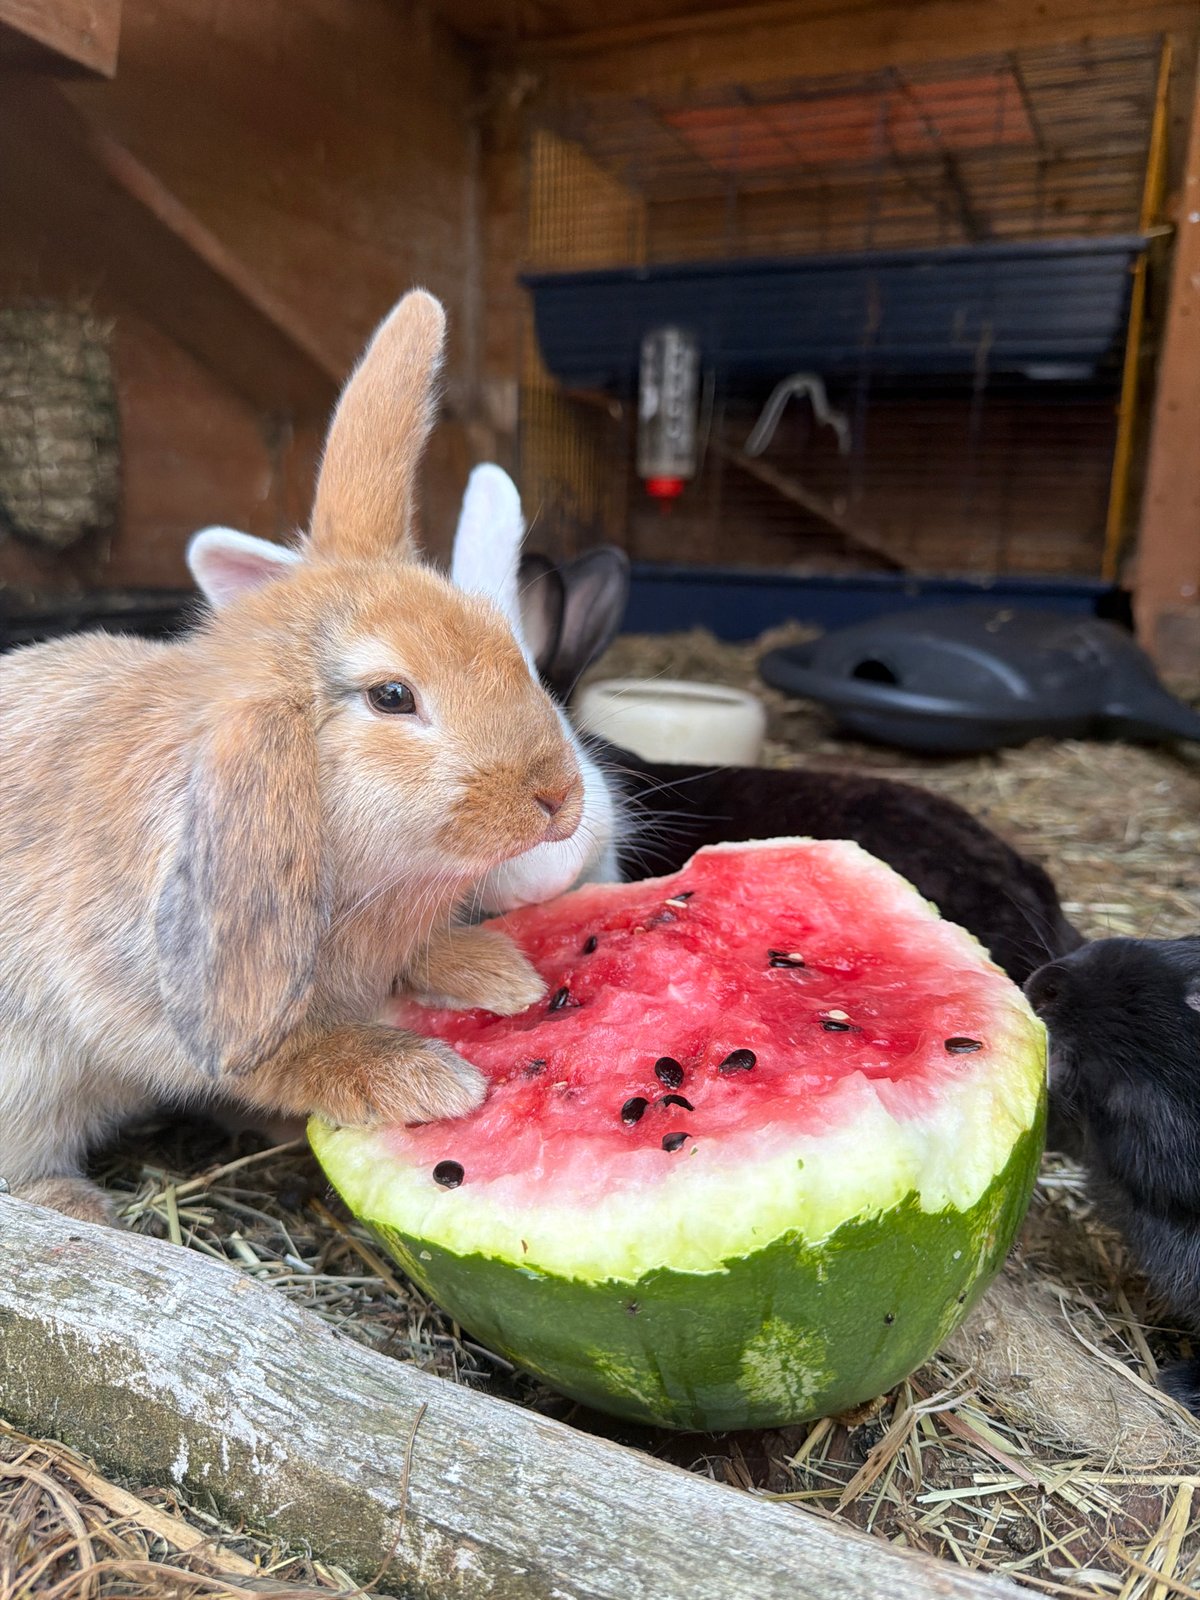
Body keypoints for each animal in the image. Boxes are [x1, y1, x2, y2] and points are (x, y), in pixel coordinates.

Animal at [0, 292, 585, 1225]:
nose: (559, 797)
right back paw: (79, 1208)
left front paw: (498, 975)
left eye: (511, 647)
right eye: (392, 697)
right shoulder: (151, 999)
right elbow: (274, 1057)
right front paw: (423, 1080)